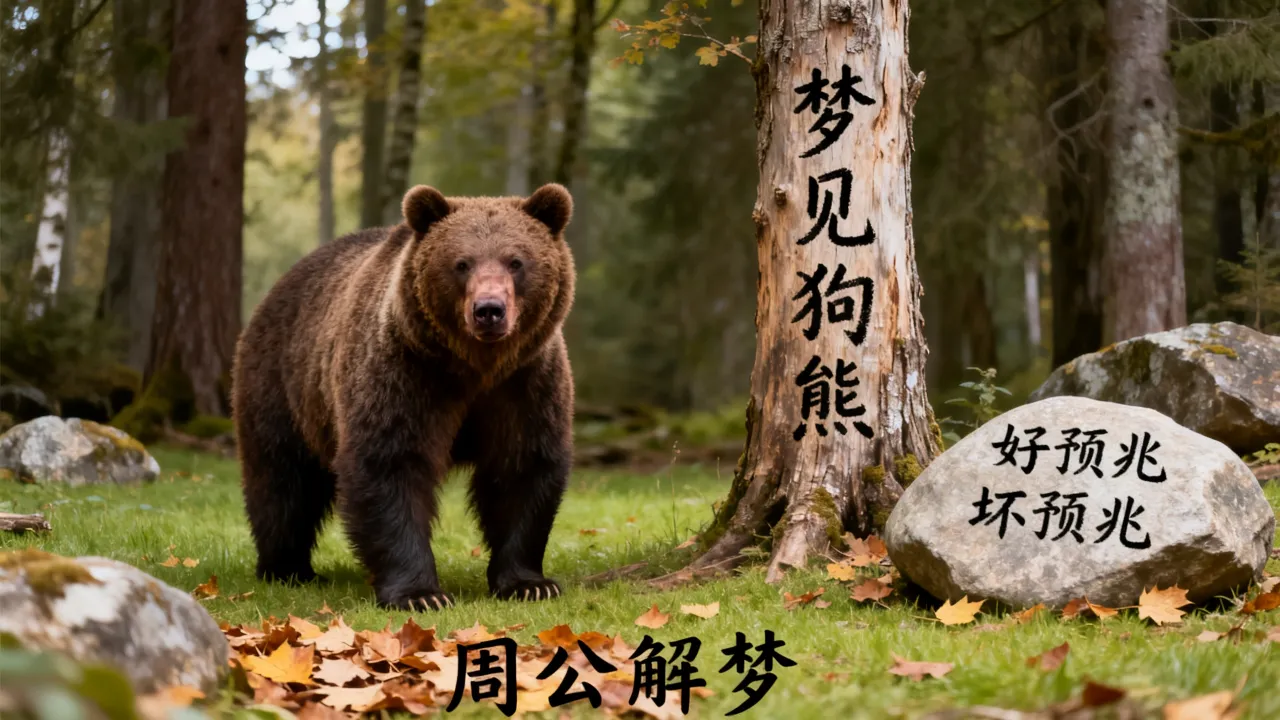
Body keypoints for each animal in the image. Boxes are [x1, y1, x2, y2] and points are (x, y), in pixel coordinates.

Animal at [231, 183, 576, 611]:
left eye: (516, 261)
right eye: (462, 263)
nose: (489, 310)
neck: (475, 367)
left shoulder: (524, 383)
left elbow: (522, 467)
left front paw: (529, 583)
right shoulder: (407, 374)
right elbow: (390, 464)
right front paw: (420, 594)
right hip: (282, 386)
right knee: (283, 481)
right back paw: (288, 568)